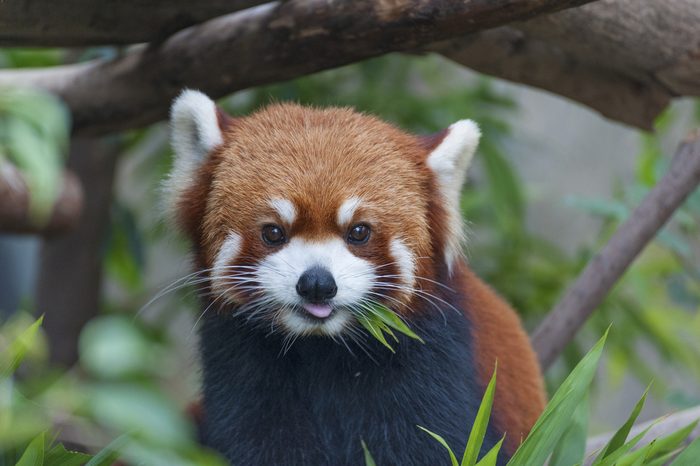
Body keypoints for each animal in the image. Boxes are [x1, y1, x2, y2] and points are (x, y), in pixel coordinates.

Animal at [165, 89, 548, 464]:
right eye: (273, 232)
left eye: (359, 232)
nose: (317, 284)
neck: (322, 347)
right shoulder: (240, 364)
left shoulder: (433, 364)